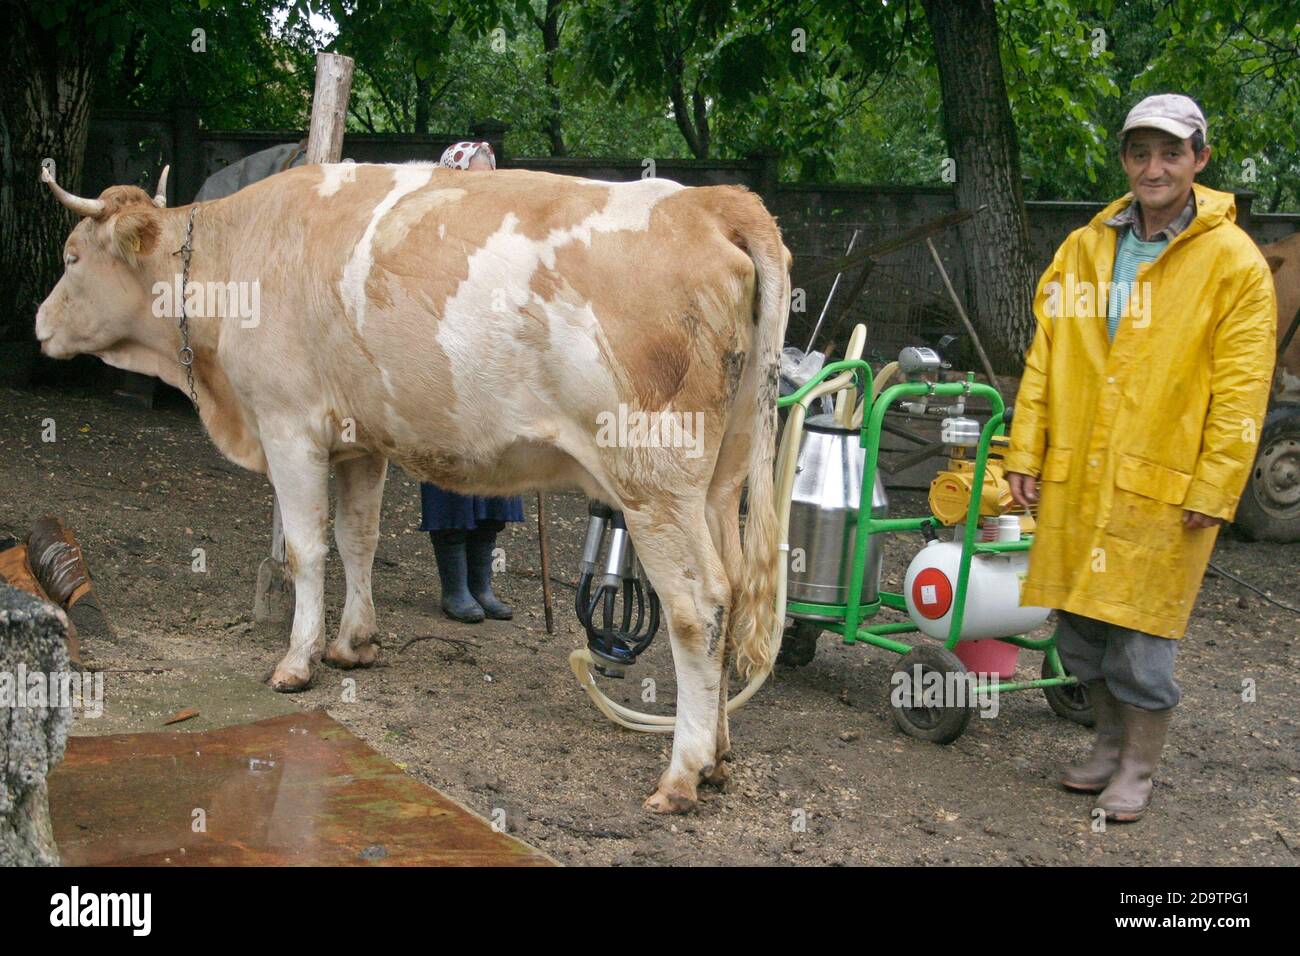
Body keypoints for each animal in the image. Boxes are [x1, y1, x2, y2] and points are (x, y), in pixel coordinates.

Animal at [38, 158, 790, 816]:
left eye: (71, 256)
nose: (39, 323)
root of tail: (712, 201)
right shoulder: (360, 439)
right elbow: (358, 539)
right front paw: (354, 645)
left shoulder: (289, 424)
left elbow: (306, 549)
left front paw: (297, 661)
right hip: (719, 485)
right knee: (729, 594)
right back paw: (717, 757)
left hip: (654, 481)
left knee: (699, 607)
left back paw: (682, 774)